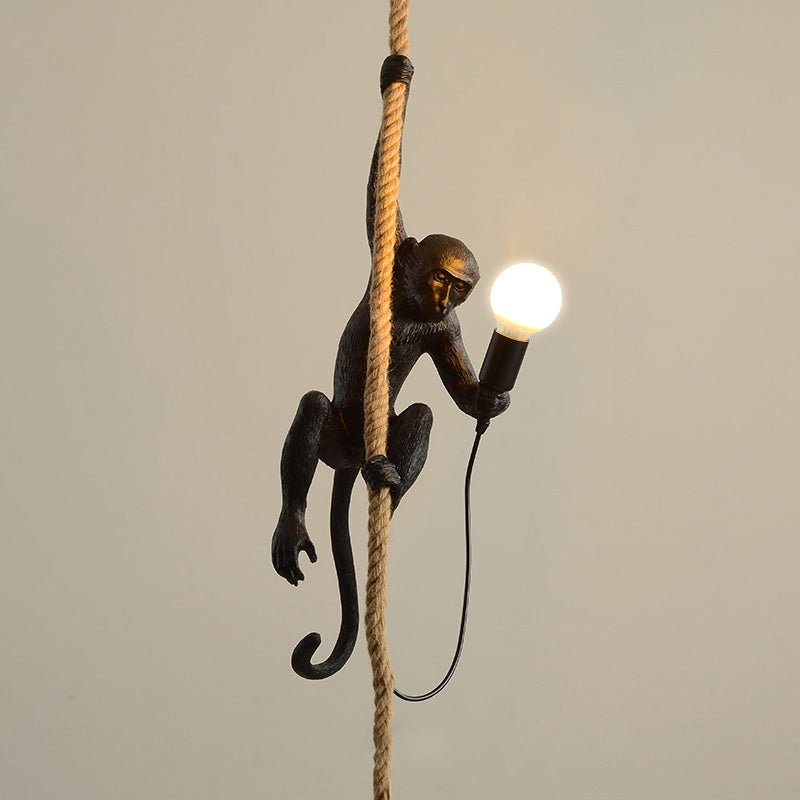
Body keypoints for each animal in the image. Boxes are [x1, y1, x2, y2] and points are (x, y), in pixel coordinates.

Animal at [271, 55, 510, 680]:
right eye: (442, 276)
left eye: (461, 288)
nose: (447, 296)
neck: (410, 306)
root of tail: (356, 457)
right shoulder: (394, 253)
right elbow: (381, 184)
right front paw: (395, 77)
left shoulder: (446, 329)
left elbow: (460, 397)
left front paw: (492, 400)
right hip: (337, 441)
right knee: (314, 408)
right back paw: (293, 525)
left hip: (368, 445)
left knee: (422, 414)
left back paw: (391, 486)